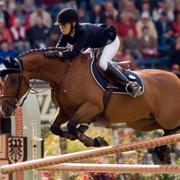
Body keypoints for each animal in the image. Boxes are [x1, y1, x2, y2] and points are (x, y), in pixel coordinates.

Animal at [0, 46, 180, 165]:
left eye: (13, 80)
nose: (5, 109)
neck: (64, 74)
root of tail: (175, 77)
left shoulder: (92, 106)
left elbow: (72, 125)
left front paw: (96, 140)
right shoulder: (65, 110)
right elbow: (56, 128)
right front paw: (89, 139)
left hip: (166, 117)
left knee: (172, 128)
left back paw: (163, 151)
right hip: (144, 121)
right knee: (167, 130)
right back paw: (162, 151)